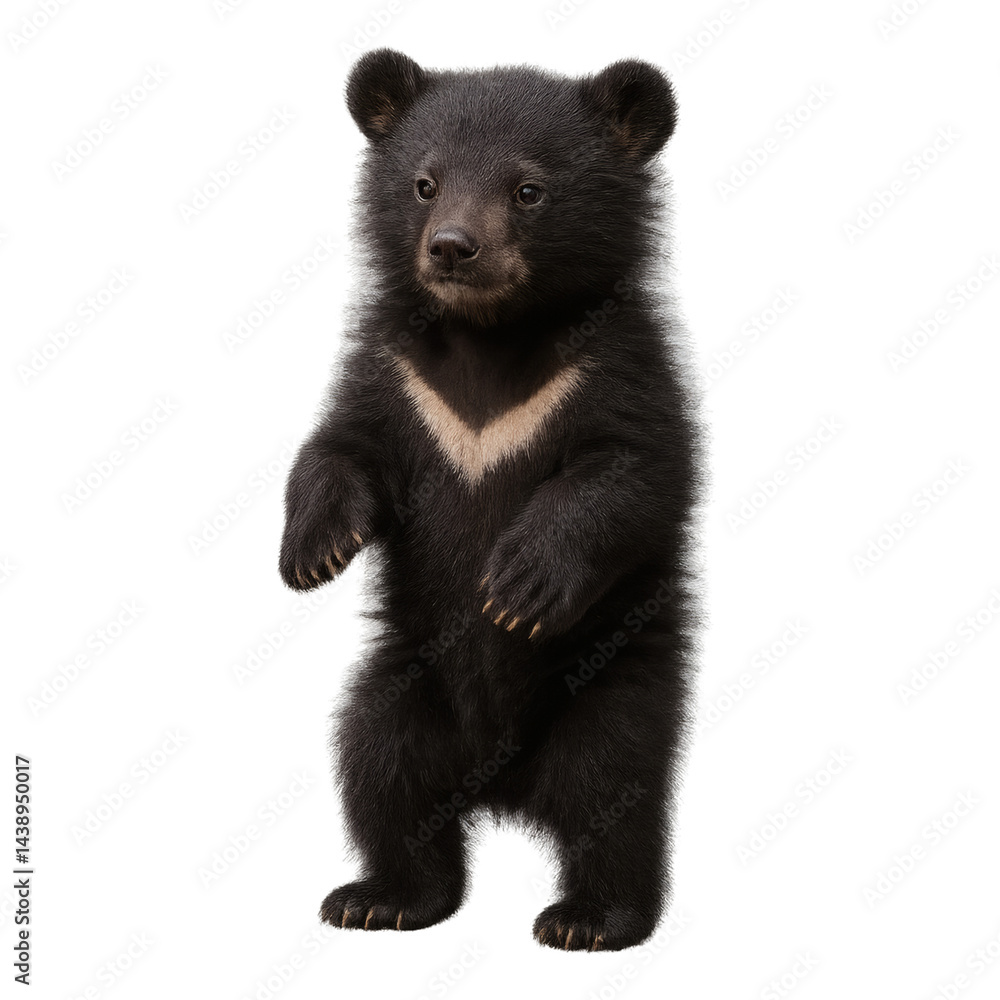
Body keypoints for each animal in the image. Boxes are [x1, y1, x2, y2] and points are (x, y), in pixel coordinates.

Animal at [278, 48, 701, 952]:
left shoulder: (619, 367)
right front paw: (314, 552)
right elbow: (341, 444)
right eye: (424, 184)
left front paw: (517, 588)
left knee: (613, 791)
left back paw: (590, 919)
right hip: (404, 684)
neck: (493, 335)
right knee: (381, 772)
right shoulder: (397, 371)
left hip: (609, 686)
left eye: (529, 190)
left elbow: (632, 473)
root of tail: (501, 784)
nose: (452, 249)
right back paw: (382, 899)